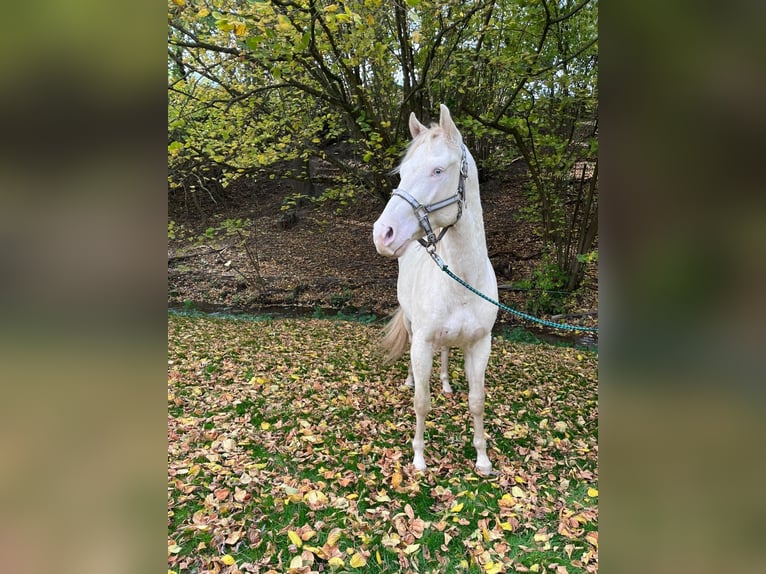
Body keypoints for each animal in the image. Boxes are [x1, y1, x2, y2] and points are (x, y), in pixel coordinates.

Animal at [372, 104, 498, 473]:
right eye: (402, 174)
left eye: (437, 170)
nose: (382, 233)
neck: (464, 281)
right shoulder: (423, 343)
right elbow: (421, 402)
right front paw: (418, 458)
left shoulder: (480, 345)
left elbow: (477, 401)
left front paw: (483, 459)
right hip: (413, 328)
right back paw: (412, 380)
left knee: (445, 354)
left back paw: (444, 382)